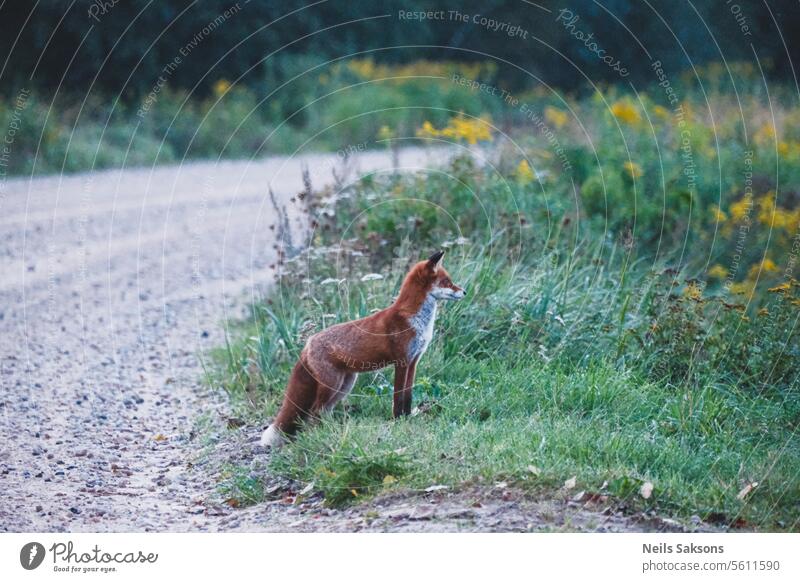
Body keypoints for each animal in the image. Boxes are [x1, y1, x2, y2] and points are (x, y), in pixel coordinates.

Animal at [260, 250, 466, 448]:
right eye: (447, 282)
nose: (464, 292)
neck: (414, 320)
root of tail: (308, 342)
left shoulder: (413, 362)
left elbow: (407, 396)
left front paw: (407, 419)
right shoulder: (401, 362)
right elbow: (398, 397)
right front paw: (397, 422)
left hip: (344, 385)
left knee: (322, 411)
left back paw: (331, 432)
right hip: (332, 384)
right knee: (314, 411)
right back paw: (320, 436)